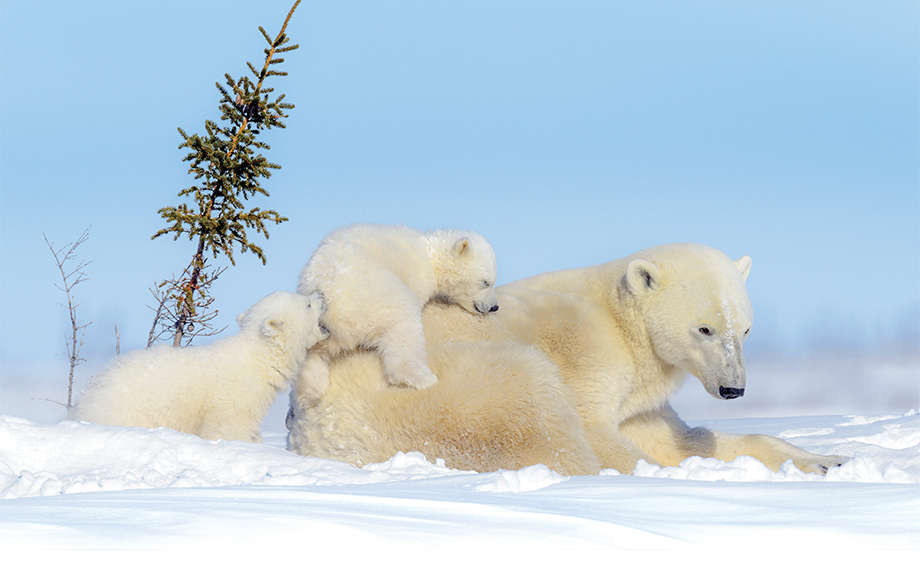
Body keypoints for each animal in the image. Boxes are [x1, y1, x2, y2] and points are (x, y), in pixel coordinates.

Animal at [290, 245, 848, 476]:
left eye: (746, 329)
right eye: (704, 328)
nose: (734, 389)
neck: (621, 321)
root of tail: (306, 424)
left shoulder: (641, 399)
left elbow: (681, 439)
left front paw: (827, 460)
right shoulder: (587, 352)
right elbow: (595, 427)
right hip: (428, 394)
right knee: (531, 411)